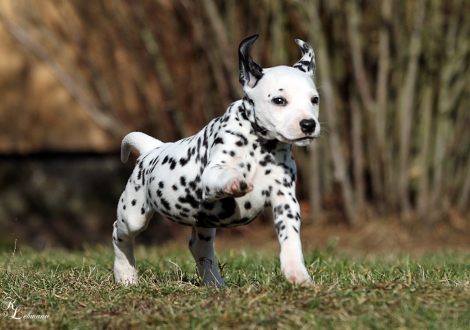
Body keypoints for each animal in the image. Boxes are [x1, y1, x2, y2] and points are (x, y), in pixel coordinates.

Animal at [113, 34, 320, 286]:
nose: (308, 125)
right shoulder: (211, 177)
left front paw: (297, 273)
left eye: (314, 100)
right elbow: (225, 174)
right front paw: (235, 181)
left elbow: (290, 237)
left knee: (199, 248)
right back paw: (125, 274)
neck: (261, 146)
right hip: (133, 216)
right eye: (279, 100)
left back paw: (214, 283)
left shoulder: (285, 199)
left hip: (204, 224)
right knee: (119, 235)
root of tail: (152, 149)